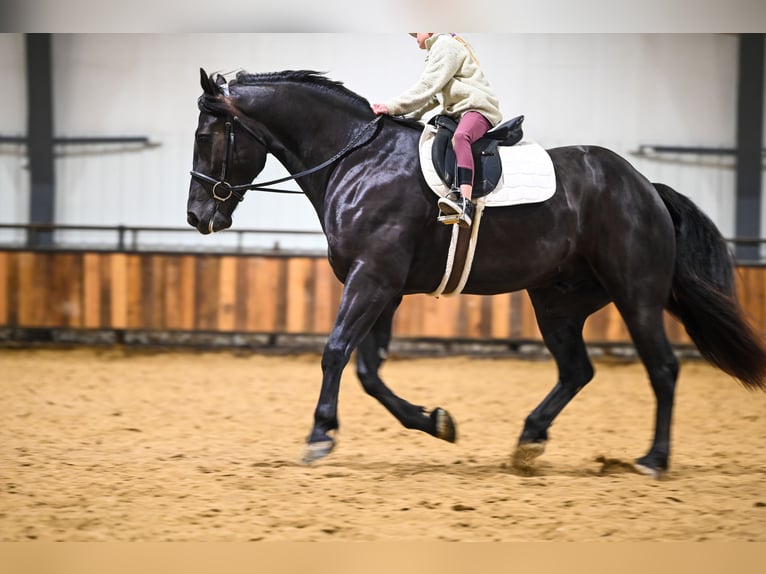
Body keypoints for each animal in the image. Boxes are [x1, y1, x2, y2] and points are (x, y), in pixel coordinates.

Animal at [187, 68, 766, 478]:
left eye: (206, 138)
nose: (197, 216)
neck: (359, 161)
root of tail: (645, 186)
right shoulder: (384, 287)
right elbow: (369, 371)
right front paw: (436, 423)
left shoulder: (372, 279)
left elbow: (336, 352)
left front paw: (320, 434)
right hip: (556, 301)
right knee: (576, 371)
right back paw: (529, 442)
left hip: (636, 295)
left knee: (663, 369)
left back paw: (653, 459)